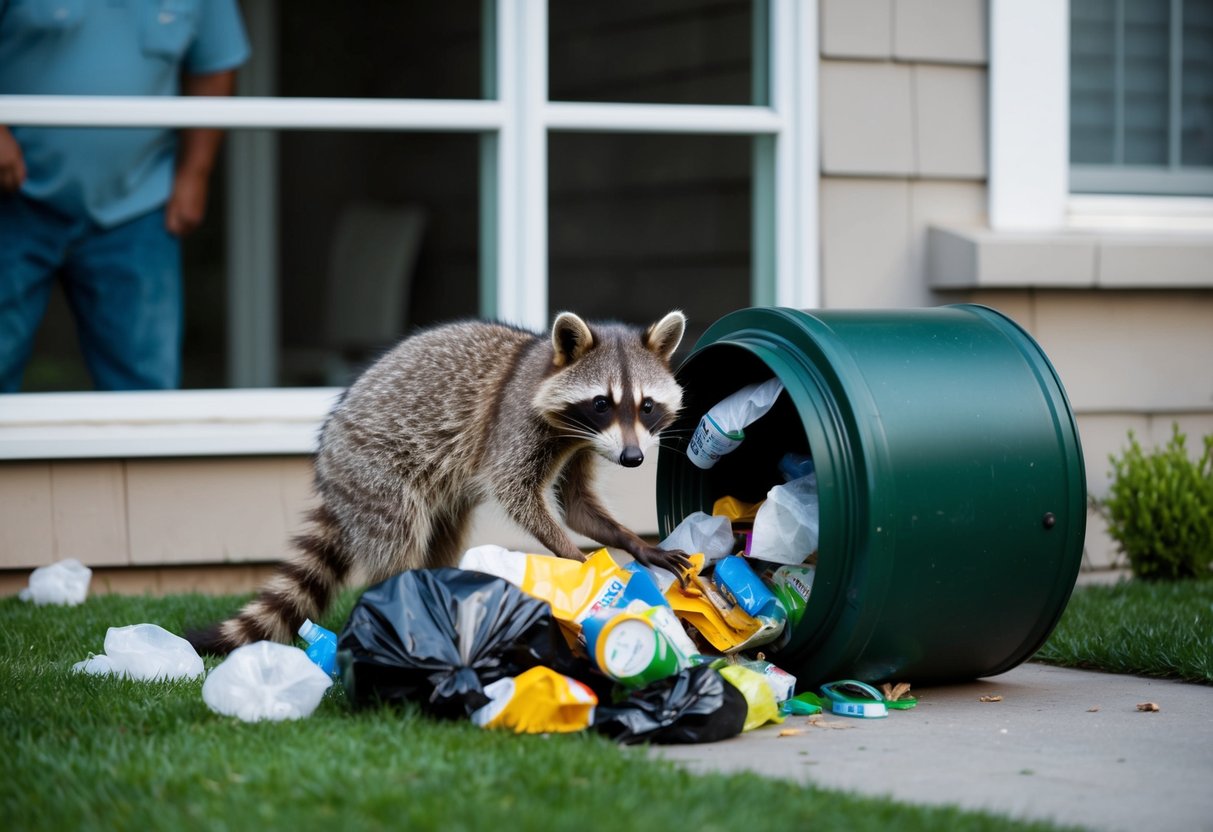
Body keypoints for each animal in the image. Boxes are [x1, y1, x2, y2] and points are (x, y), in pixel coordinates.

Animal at [188, 311, 691, 654]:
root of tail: (328, 456)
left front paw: (634, 544)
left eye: (646, 406)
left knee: (442, 540)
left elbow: (577, 504)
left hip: (436, 500)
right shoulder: (515, 424)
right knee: (398, 541)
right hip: (374, 473)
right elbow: (515, 492)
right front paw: (576, 559)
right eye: (602, 403)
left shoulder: (581, 445)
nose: (633, 459)